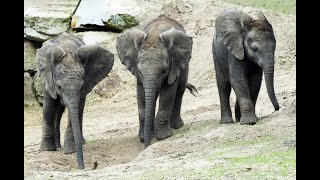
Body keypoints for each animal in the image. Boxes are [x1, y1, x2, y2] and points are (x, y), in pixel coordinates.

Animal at [36, 32, 114, 169]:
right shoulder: (48, 79)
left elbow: (78, 109)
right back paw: (57, 146)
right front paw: (46, 150)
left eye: (81, 86)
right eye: (59, 87)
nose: (83, 167)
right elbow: (49, 107)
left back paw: (80, 143)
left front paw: (70, 151)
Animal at [116, 15, 198, 148]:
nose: (146, 145)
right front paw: (144, 137)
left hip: (184, 66)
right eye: (139, 71)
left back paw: (177, 126)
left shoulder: (173, 67)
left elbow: (168, 93)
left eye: (164, 70)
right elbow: (141, 94)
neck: (154, 35)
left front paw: (164, 137)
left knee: (179, 92)